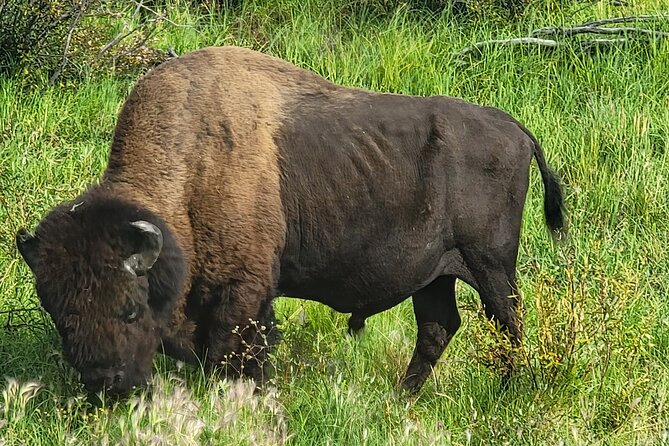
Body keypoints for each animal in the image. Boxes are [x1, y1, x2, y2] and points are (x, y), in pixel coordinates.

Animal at [16, 46, 564, 396]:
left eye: (130, 309)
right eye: (59, 314)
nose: (104, 384)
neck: (190, 170)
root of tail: (514, 128)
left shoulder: (244, 292)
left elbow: (237, 353)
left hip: (490, 266)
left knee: (508, 323)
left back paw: (509, 391)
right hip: (434, 274)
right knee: (437, 328)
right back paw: (402, 398)